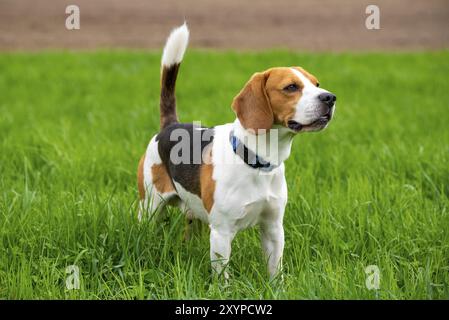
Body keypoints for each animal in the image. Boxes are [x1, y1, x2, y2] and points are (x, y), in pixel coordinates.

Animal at [138, 23, 334, 278]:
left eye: (316, 84)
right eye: (291, 87)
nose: (330, 98)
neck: (258, 161)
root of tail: (171, 126)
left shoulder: (273, 228)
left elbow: (275, 271)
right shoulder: (221, 233)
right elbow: (222, 277)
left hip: (195, 216)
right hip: (149, 206)